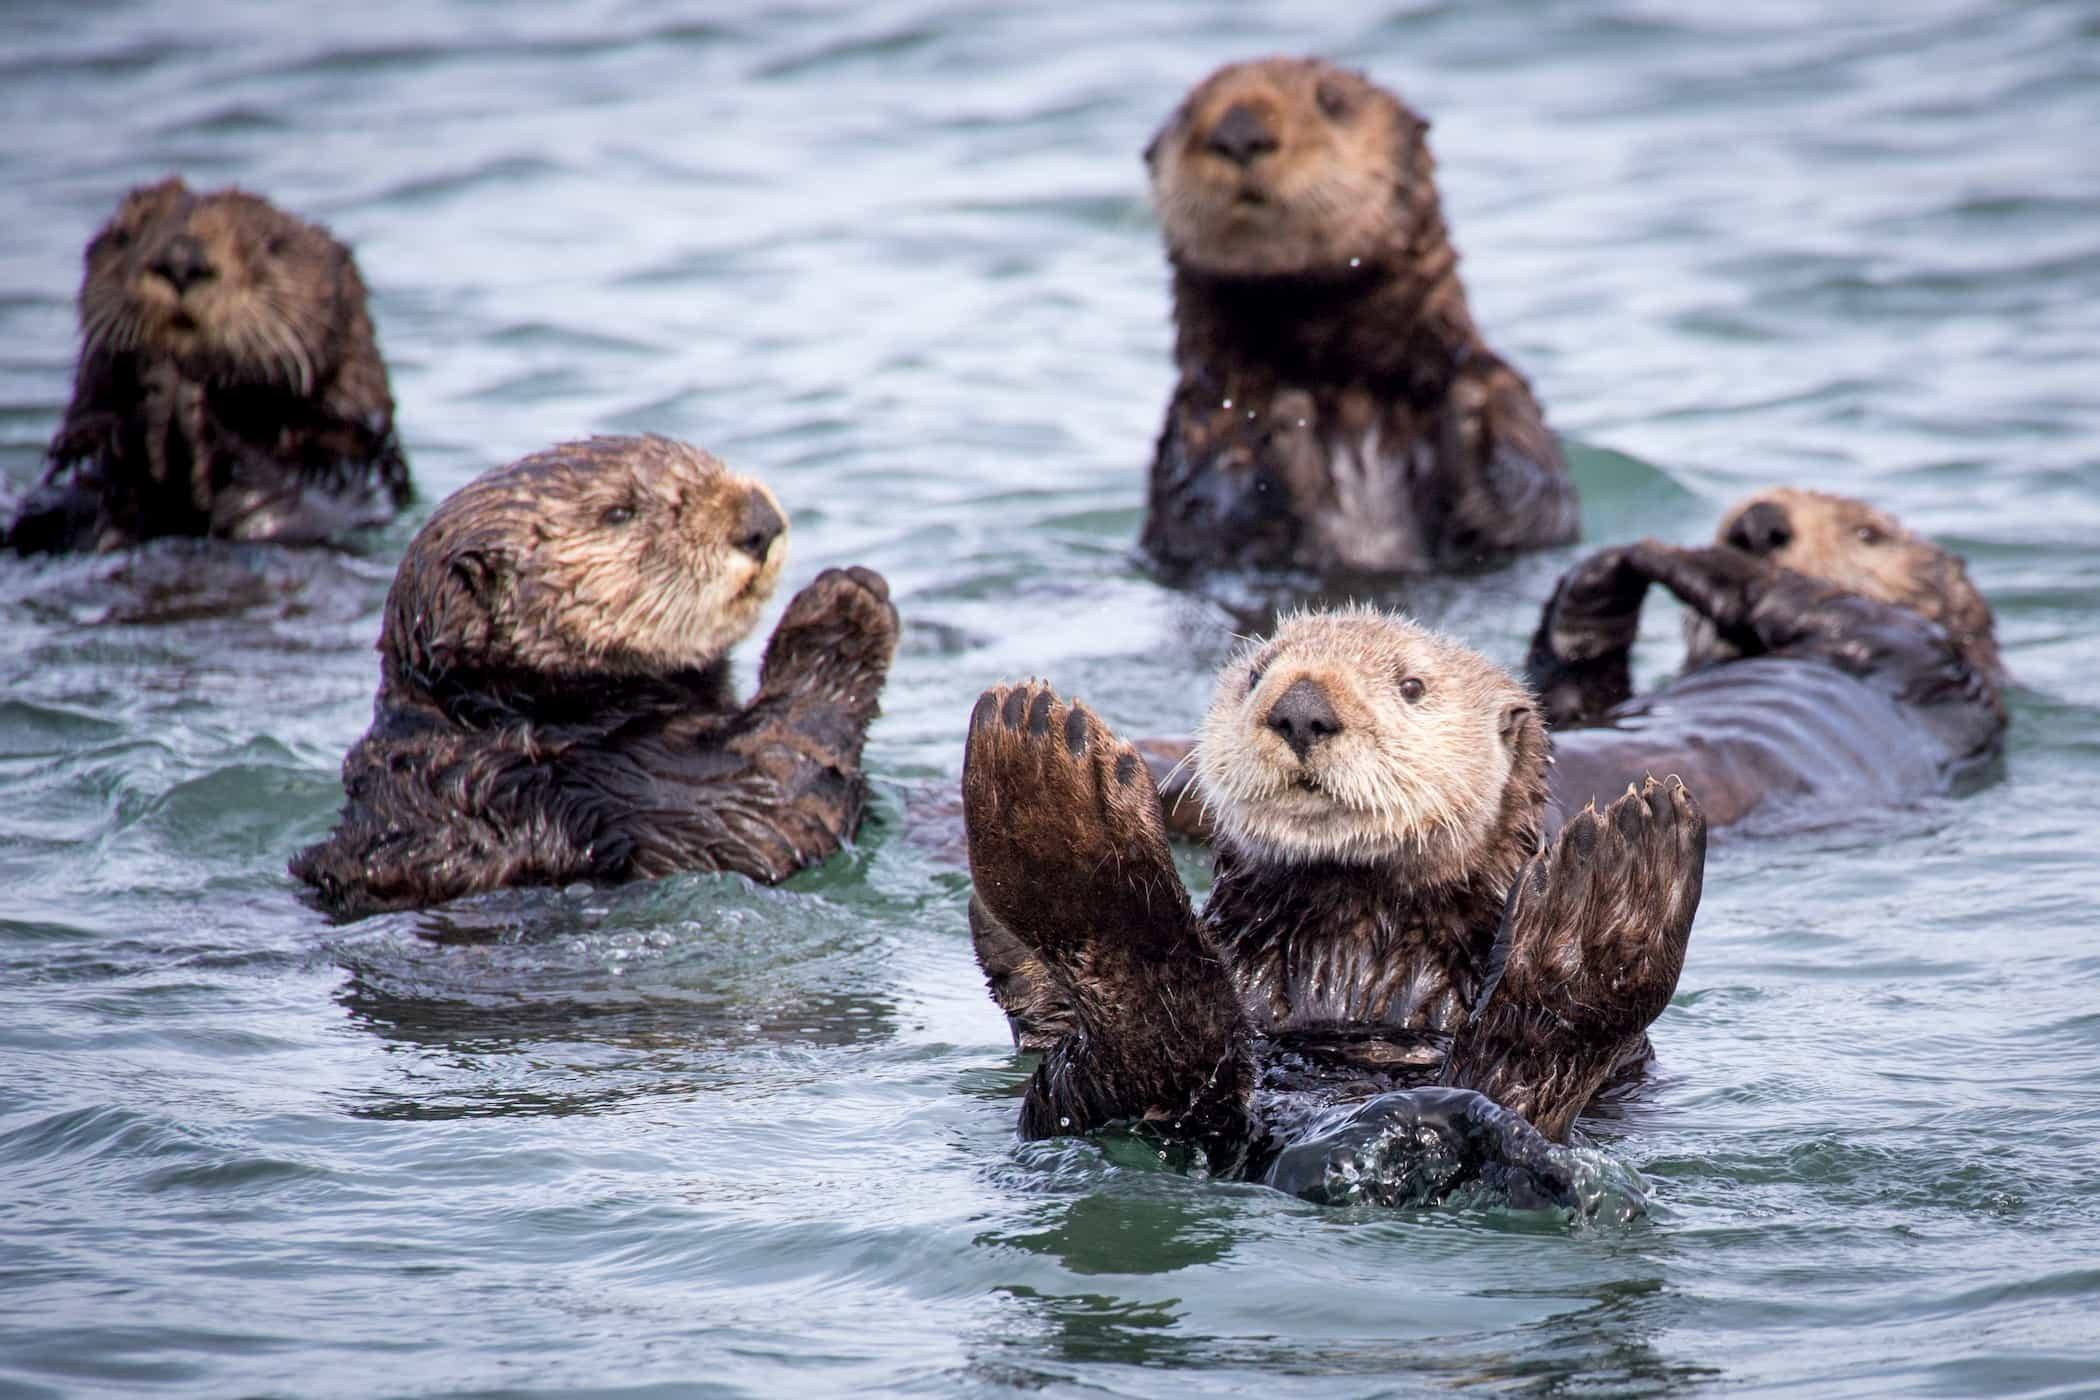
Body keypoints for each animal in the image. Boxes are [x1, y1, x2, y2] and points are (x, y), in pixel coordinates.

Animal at [6, 180, 411, 558]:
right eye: (123, 237)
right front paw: (153, 405)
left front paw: (193, 416)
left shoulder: (347, 467)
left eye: (274, 244)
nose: (181, 259)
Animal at [961, 608, 1696, 1208]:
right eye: (1257, 674)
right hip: (1076, 1103)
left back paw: (1611, 891)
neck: (1347, 955)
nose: (1301, 707)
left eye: (1411, 686)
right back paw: (1047, 795)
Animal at [1150, 57, 1579, 579]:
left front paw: (1469, 422)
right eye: (1187, 111)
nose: (1240, 132)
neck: (1340, 379)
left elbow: (1541, 502)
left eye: (1332, 100)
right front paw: (1289, 429)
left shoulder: (1507, 391)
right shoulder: (1195, 427)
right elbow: (1202, 513)